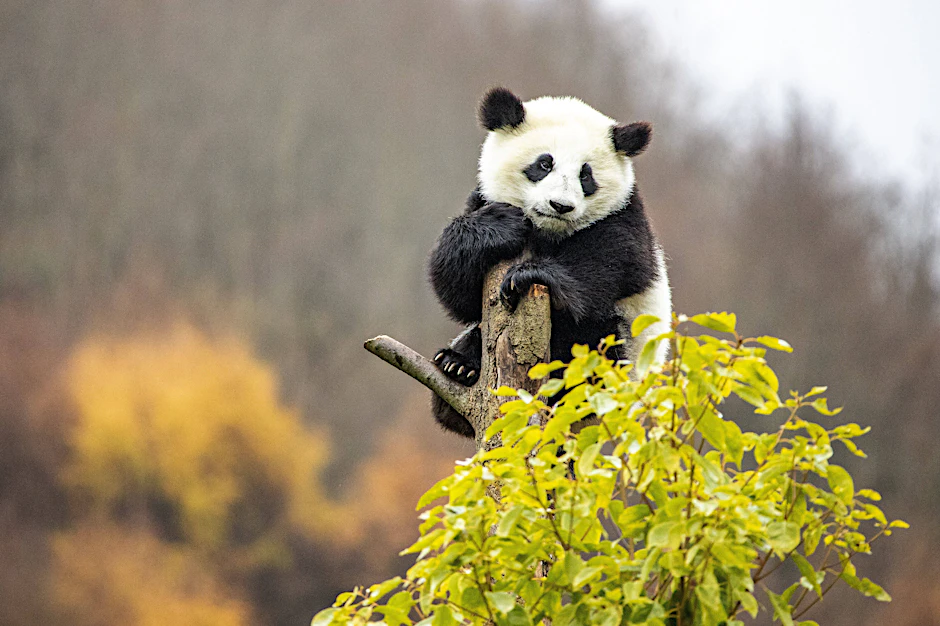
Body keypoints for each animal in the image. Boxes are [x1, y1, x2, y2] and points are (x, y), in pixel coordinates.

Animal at [427, 87, 671, 438]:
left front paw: (528, 275)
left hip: (618, 357)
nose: (561, 205)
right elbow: (460, 295)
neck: (547, 232)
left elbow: (608, 263)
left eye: (586, 175)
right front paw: (499, 227)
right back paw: (458, 367)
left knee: (588, 336)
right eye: (544, 164)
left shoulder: (625, 220)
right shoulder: (480, 199)